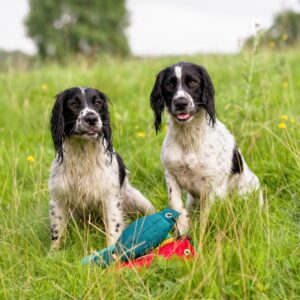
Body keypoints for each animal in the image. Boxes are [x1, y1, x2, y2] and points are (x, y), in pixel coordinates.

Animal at [48, 87, 155, 251]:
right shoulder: (58, 198)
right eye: (73, 104)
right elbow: (57, 232)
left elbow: (113, 229)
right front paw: (53, 254)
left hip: (139, 200)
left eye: (98, 103)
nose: (91, 118)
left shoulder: (110, 198)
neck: (83, 155)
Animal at [150, 62, 262, 236]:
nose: (181, 102)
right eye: (169, 84)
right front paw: (182, 232)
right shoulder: (171, 175)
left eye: (193, 82)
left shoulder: (214, 186)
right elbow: (176, 205)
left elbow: (206, 218)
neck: (189, 138)